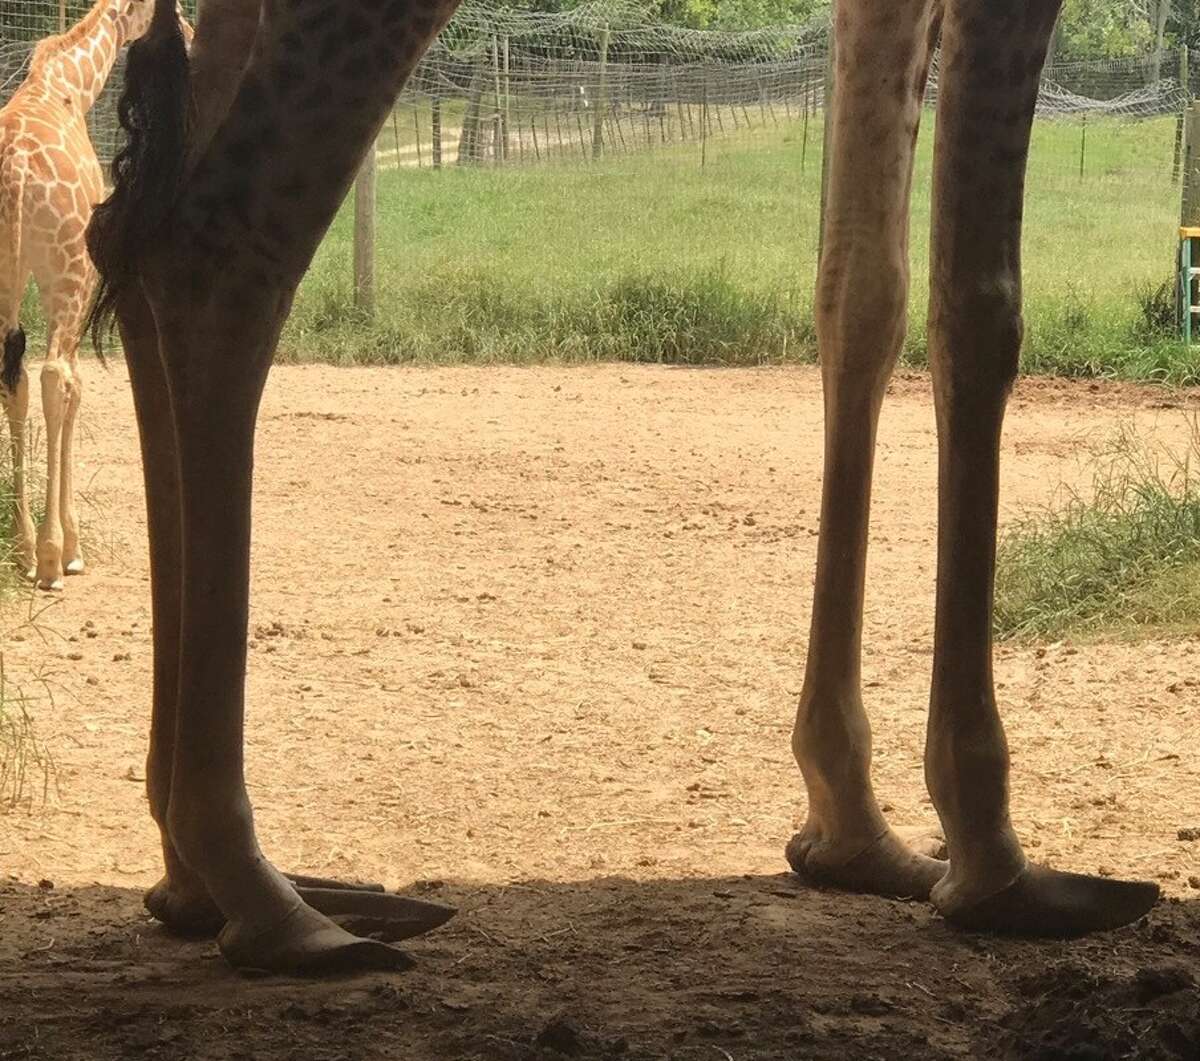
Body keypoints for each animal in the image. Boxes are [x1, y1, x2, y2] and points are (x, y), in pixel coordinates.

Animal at [0, 0, 190, 591]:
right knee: (52, 375)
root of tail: (15, 173)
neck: (69, 86)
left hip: (10, 277)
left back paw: (20, 545)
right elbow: (76, 386)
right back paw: (48, 556)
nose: (190, 32)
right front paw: (69, 547)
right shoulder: (84, 276)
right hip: (65, 271)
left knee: (14, 377)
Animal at [79, 0, 1161, 975]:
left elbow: (863, 287)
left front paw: (854, 830)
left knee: (139, 223)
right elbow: (978, 304)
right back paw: (261, 894)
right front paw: (992, 857)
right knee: (217, 241)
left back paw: (202, 884)